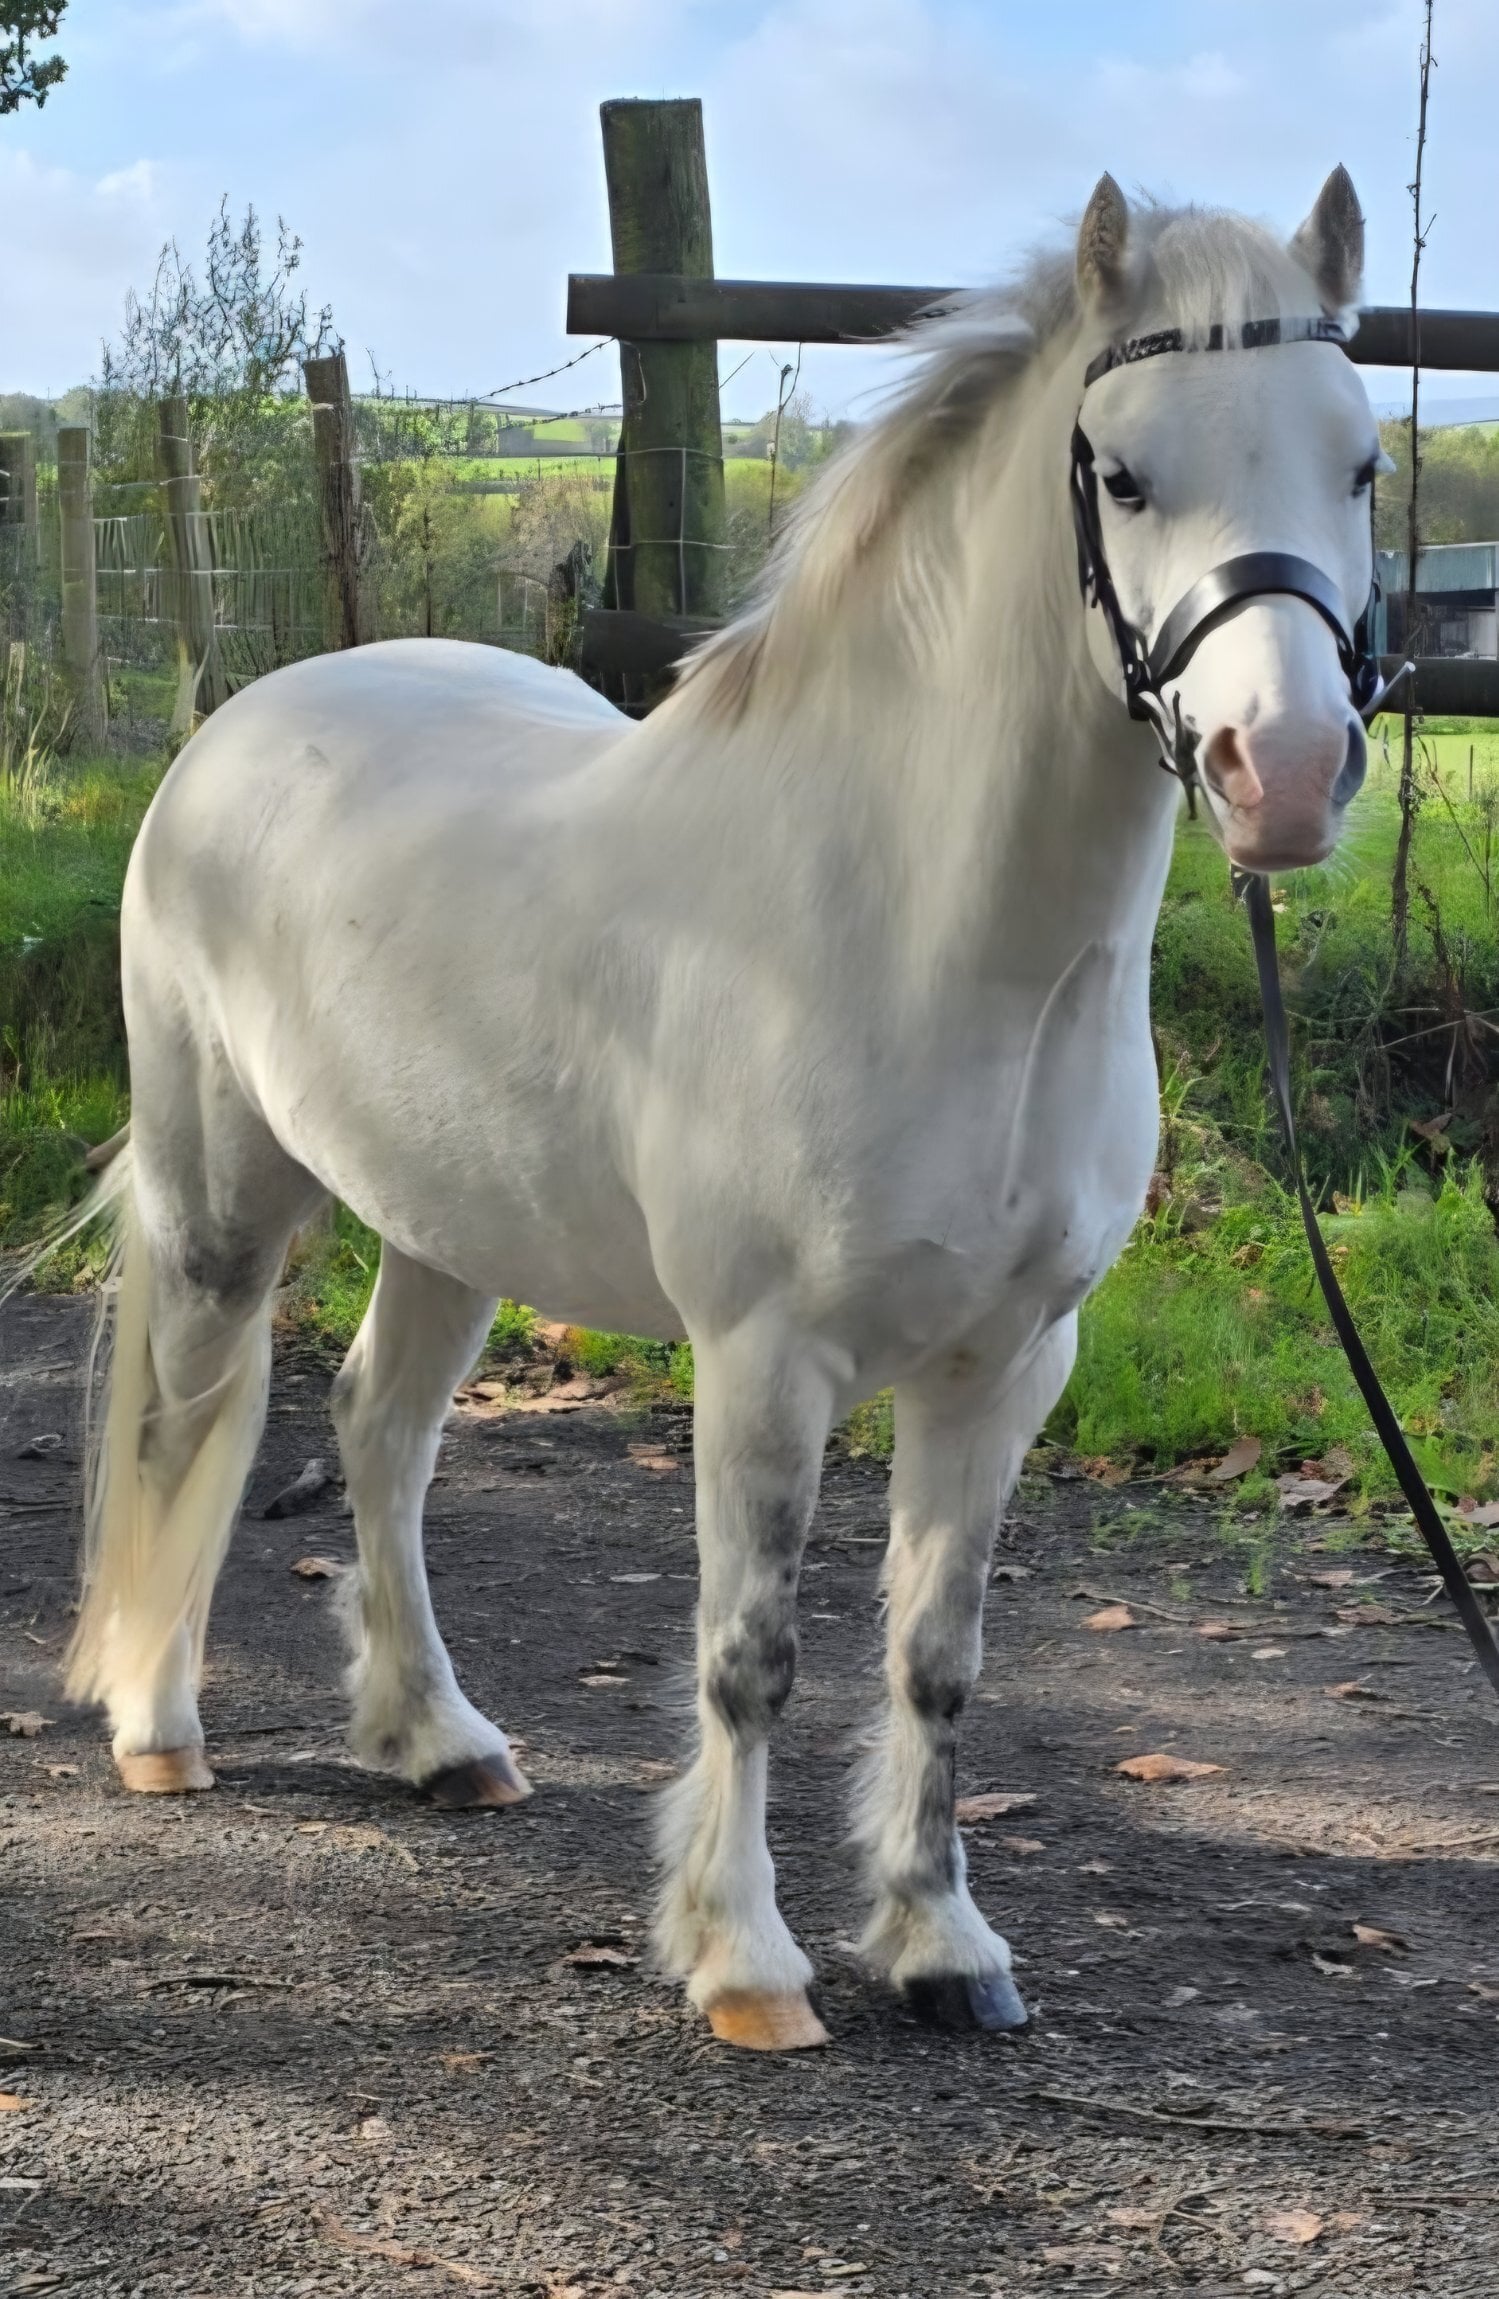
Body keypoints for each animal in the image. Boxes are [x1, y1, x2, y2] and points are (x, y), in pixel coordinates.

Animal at [51, 168, 1384, 2052]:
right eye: (1123, 473)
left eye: (1358, 462)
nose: (1284, 771)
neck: (928, 938)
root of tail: (244, 719)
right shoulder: (764, 1358)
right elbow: (749, 1654)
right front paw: (746, 1960)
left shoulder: (1006, 1364)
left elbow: (936, 1654)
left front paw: (938, 1941)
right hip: (222, 1199)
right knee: (187, 1416)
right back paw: (158, 1727)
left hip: (447, 1222)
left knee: (380, 1429)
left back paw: (436, 1739)